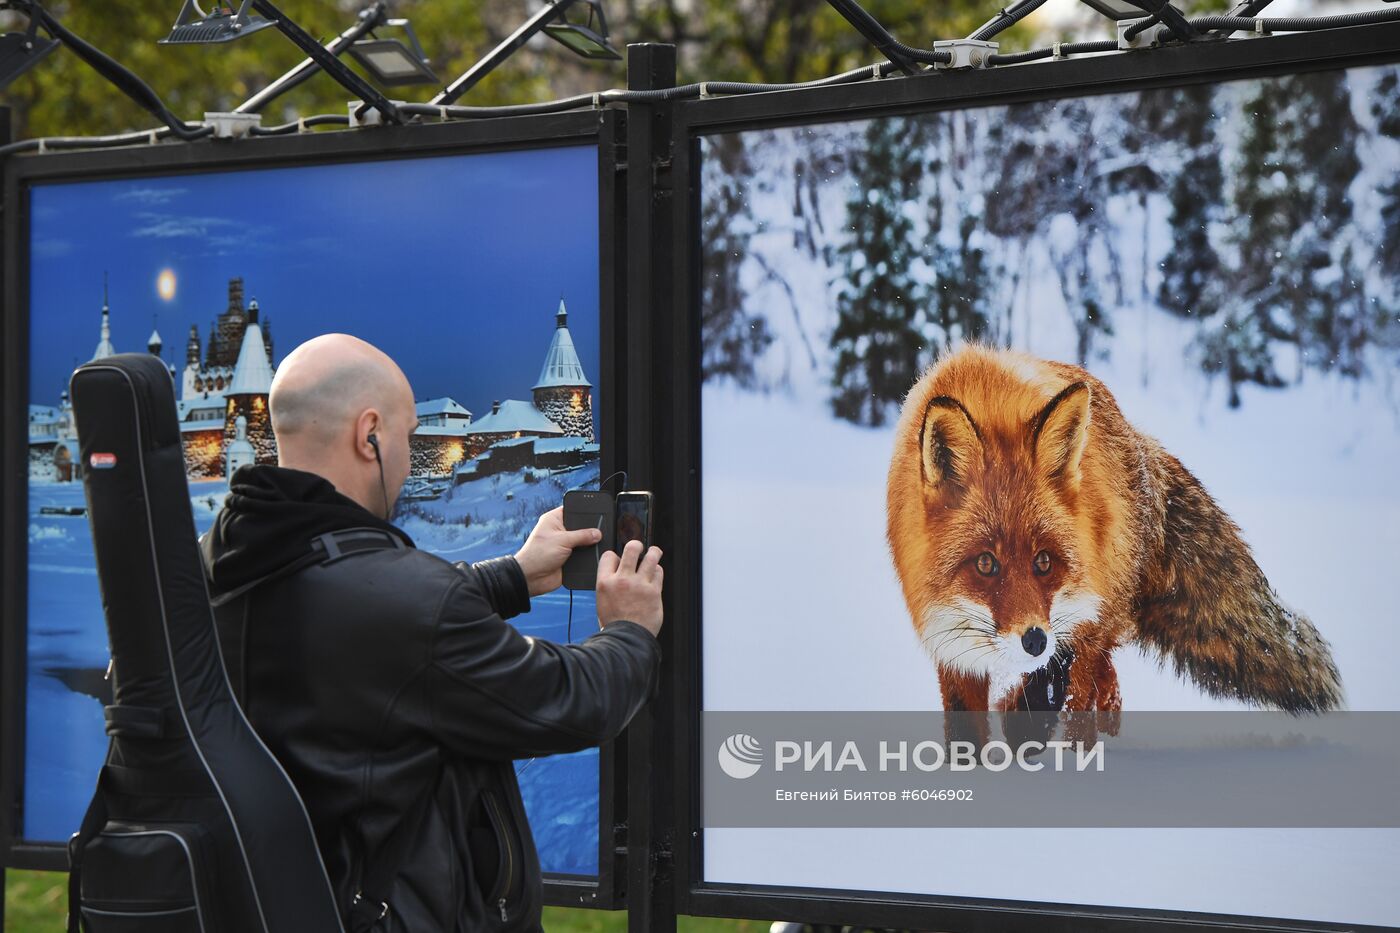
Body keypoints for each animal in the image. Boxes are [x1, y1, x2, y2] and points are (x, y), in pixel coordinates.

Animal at [884, 344, 1344, 714]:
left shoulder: (1071, 630)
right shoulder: (953, 651)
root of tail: (1138, 444)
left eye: (1044, 561)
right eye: (985, 564)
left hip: (1092, 623)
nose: (1034, 641)